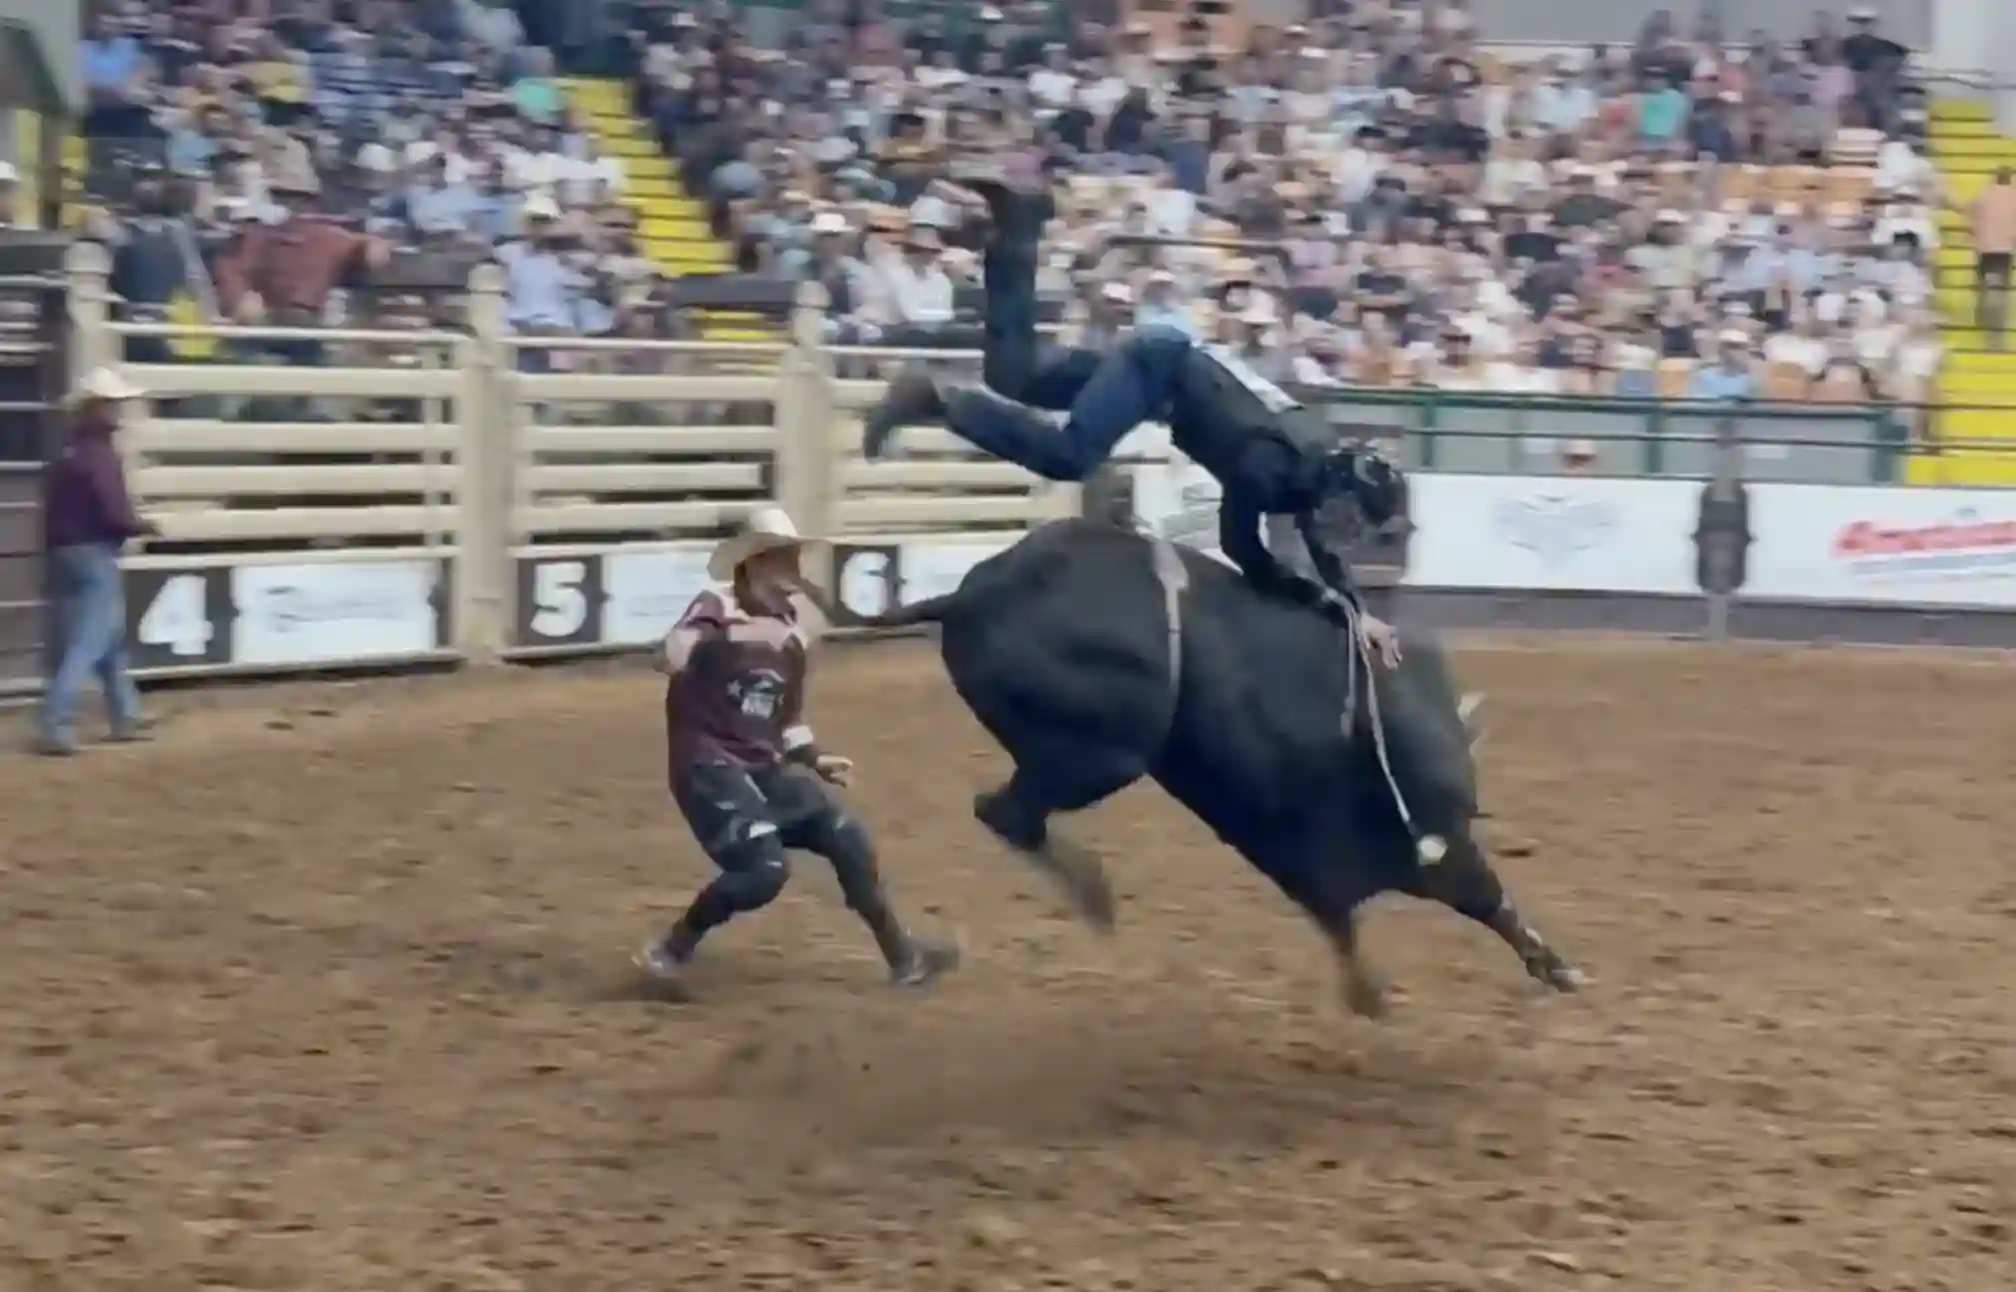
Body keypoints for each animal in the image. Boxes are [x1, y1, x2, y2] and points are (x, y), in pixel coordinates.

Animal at [798, 517, 1584, 1016]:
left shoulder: (1309, 856)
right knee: (1009, 811)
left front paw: (1366, 989)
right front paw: (1556, 966)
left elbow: (1344, 920)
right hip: (1102, 753)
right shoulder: (1424, 844)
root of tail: (968, 594)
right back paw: (1093, 894)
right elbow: (1486, 898)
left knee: (1004, 813)